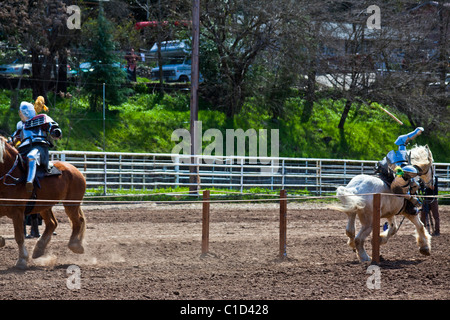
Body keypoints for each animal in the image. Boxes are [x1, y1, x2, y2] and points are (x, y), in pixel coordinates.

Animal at [0, 137, 86, 268]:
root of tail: (75, 169)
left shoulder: (17, 212)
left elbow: (19, 237)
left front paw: (22, 260)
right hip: (45, 206)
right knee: (52, 223)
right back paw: (39, 249)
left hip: (71, 204)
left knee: (78, 221)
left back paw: (75, 245)